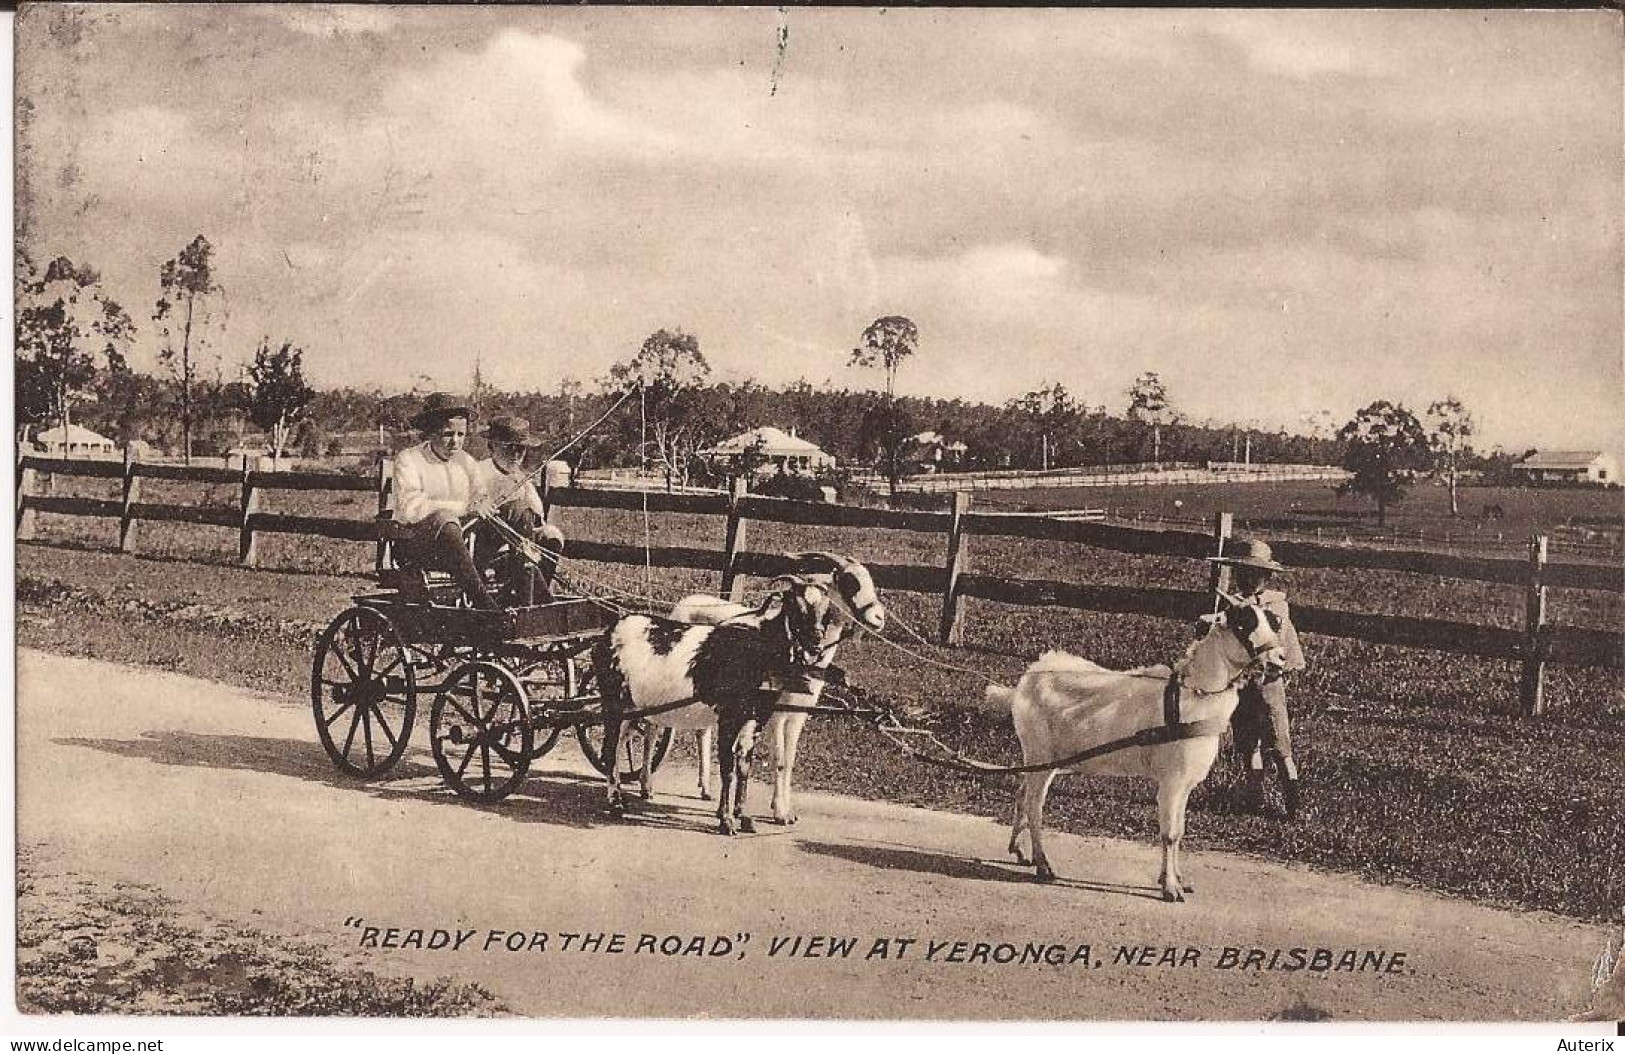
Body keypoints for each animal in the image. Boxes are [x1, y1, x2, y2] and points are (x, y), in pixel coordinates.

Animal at [591, 574, 832, 831]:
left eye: (825, 609)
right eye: (795, 606)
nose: (816, 642)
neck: (756, 651)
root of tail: (608, 634)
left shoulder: (754, 718)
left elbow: (744, 765)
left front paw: (743, 816)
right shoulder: (729, 717)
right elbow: (727, 767)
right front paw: (726, 820)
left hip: (632, 708)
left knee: (617, 746)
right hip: (614, 703)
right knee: (609, 749)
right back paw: (616, 804)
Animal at [663, 552, 890, 821]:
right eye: (850, 582)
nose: (879, 618)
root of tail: (685, 602)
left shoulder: (798, 713)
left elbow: (789, 760)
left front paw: (785, 809)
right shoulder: (775, 712)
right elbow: (779, 759)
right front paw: (780, 812)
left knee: (702, 731)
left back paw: (706, 789)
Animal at [981, 597, 1287, 902]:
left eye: (1273, 620)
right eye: (1243, 624)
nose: (1281, 657)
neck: (1193, 693)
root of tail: (1026, 680)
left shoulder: (1187, 783)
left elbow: (1180, 830)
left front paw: (1178, 880)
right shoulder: (1172, 779)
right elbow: (1170, 834)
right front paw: (1170, 888)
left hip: (1046, 759)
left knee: (1022, 795)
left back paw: (1021, 852)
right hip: (1040, 753)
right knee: (1035, 806)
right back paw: (1043, 866)